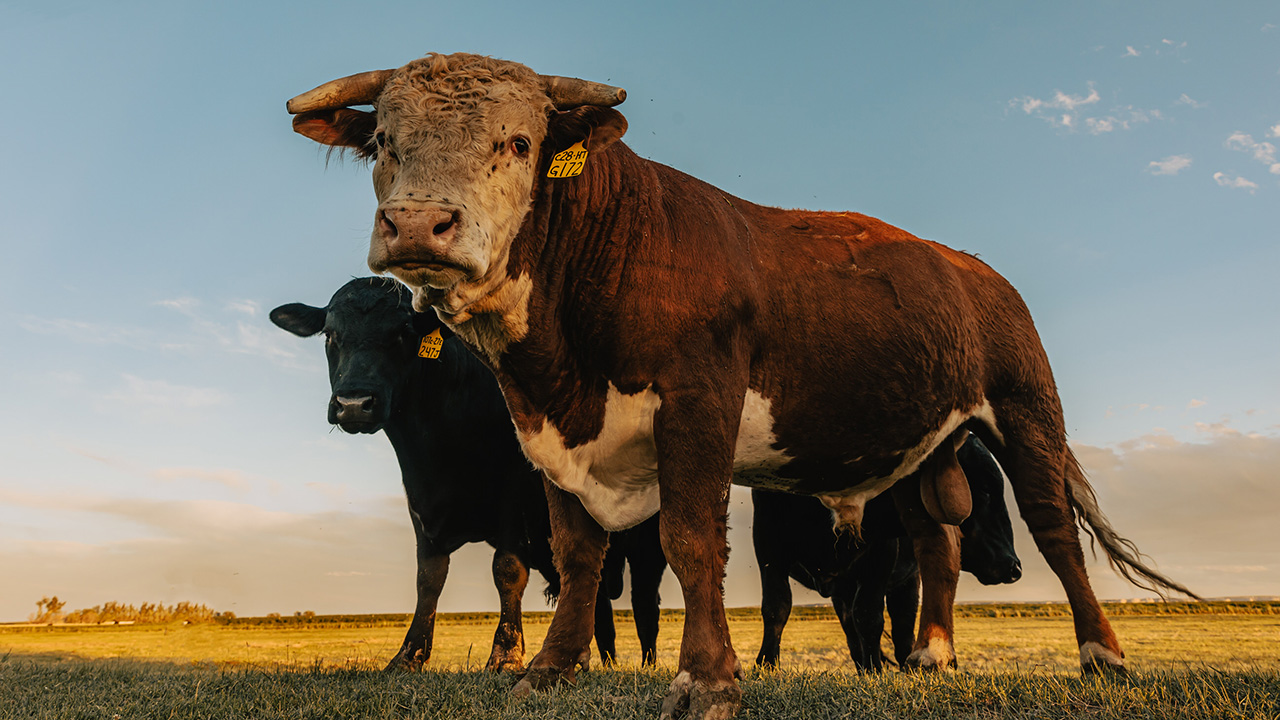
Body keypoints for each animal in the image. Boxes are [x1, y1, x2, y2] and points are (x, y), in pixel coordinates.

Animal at [271, 278, 670, 671]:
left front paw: (505, 654)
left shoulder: (513, 503)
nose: (353, 403)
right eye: (330, 335)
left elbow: (507, 571)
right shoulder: (421, 506)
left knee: (643, 602)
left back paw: (645, 664)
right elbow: (428, 578)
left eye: (402, 333)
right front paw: (408, 655)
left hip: (647, 545)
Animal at [747, 435, 1018, 671]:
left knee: (901, 633)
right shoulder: (766, 539)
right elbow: (776, 606)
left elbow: (869, 616)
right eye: (984, 491)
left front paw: (874, 670)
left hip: (906, 584)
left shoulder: (881, 553)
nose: (1014, 566)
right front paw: (766, 666)